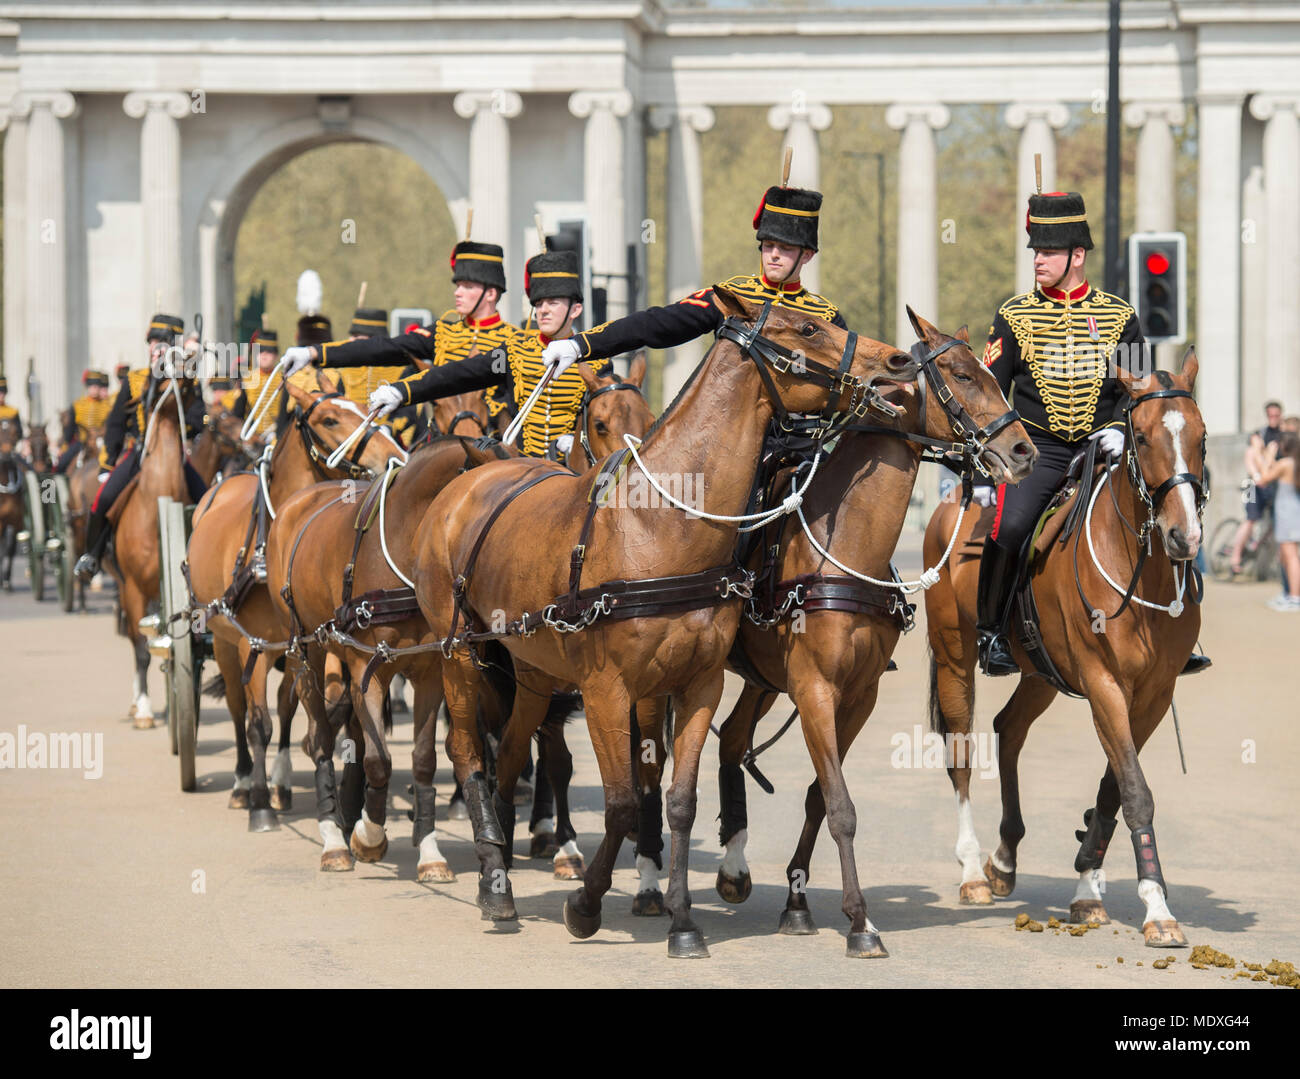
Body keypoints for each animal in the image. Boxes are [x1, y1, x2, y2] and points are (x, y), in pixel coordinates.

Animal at [188, 377, 405, 832]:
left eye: (365, 408)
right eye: (329, 419)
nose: (395, 456)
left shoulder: (303, 643)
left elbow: (306, 707)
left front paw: (286, 778)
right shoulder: (250, 645)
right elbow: (258, 723)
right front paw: (259, 804)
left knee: (285, 705)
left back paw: (281, 781)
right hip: (224, 643)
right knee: (237, 707)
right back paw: (242, 783)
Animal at [263, 358, 655, 873]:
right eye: (328, 419)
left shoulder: (436, 670)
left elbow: (430, 759)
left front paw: (432, 849)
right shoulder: (369, 664)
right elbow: (380, 757)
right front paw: (370, 834)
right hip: (304, 650)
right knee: (322, 735)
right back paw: (333, 834)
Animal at [405, 287, 915, 956]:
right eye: (807, 330)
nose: (901, 362)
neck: (661, 526)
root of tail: (471, 476)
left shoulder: (698, 683)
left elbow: (678, 800)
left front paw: (682, 922)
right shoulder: (606, 689)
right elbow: (622, 801)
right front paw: (585, 906)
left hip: (532, 669)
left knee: (511, 756)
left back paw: (506, 864)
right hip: (460, 654)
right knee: (468, 753)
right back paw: (495, 883)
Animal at [660, 310, 1034, 956]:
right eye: (964, 375)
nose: (1023, 450)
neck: (845, 549)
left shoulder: (858, 696)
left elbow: (819, 794)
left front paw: (798, 900)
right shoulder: (815, 689)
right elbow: (840, 805)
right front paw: (860, 922)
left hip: (762, 679)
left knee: (733, 743)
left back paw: (733, 867)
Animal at [925, 353, 1206, 946]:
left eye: (1202, 436)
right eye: (1141, 437)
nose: (1183, 537)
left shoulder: (1150, 695)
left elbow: (1113, 789)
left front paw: (1087, 887)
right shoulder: (1104, 683)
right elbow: (1135, 791)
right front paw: (1157, 907)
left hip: (1041, 673)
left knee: (1009, 730)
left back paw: (1005, 859)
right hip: (954, 655)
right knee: (960, 754)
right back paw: (972, 871)